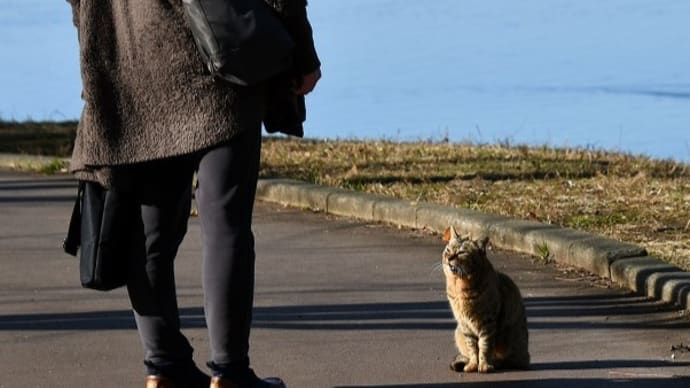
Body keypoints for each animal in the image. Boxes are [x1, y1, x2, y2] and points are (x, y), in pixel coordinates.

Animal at [440, 227, 528, 372]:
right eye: (448, 250)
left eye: (461, 252)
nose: (448, 258)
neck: (460, 287)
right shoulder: (464, 324)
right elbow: (472, 347)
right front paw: (473, 364)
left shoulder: (488, 321)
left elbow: (484, 345)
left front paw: (484, 365)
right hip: (458, 331)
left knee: (510, 360)